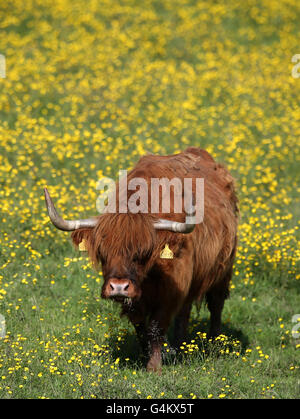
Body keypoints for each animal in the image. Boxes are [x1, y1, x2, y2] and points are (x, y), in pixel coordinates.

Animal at [44, 148, 238, 374]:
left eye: (142, 253)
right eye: (103, 253)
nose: (119, 287)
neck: (149, 275)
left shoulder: (172, 289)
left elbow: (155, 326)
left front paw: (154, 367)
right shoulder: (139, 299)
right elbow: (140, 326)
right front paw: (146, 356)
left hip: (224, 268)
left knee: (216, 303)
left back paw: (215, 343)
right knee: (185, 311)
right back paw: (180, 347)